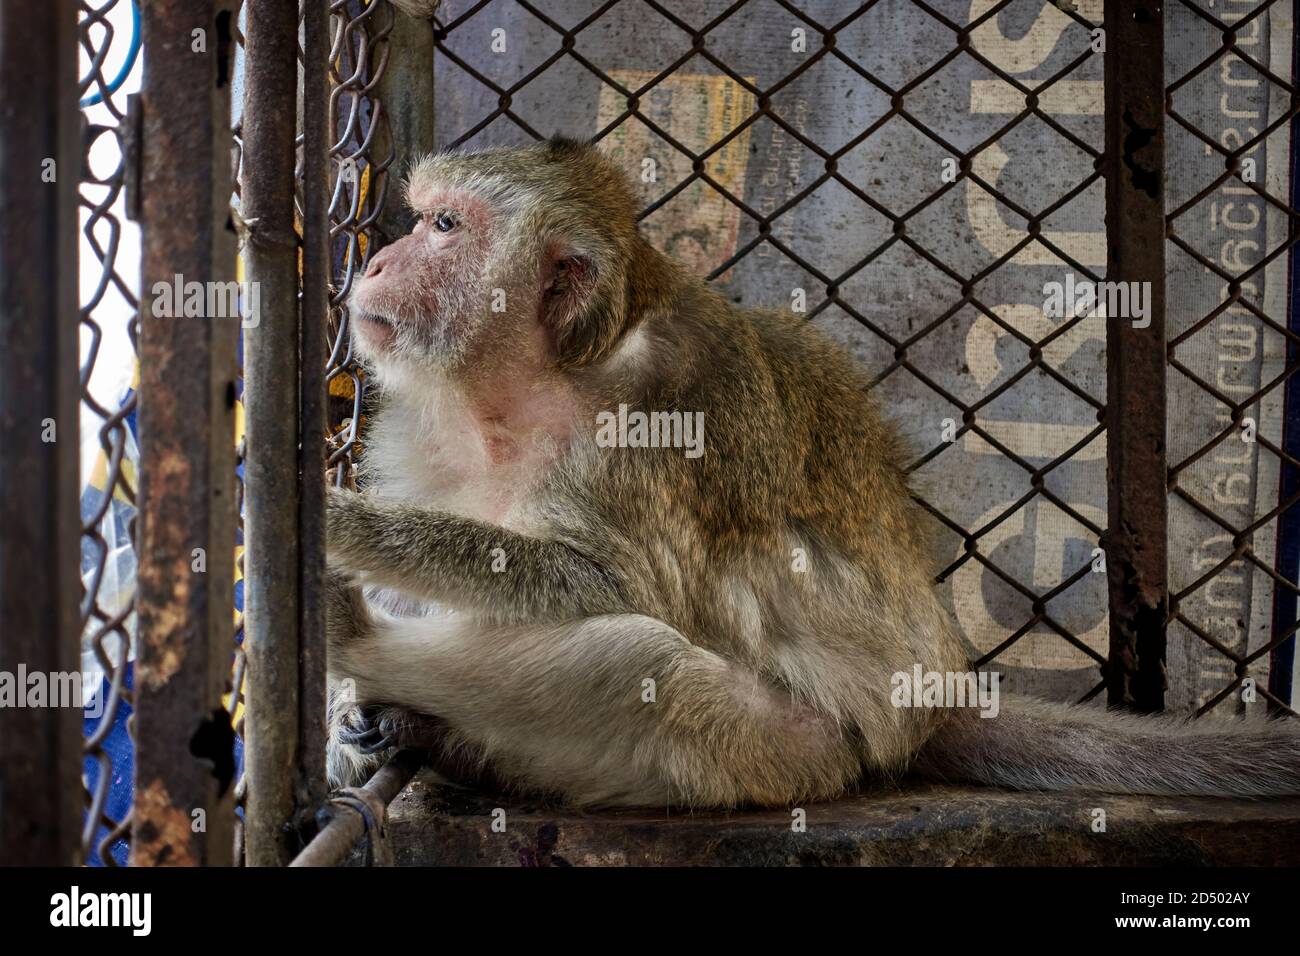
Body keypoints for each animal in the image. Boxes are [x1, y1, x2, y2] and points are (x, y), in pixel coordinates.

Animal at [319, 136, 1294, 806]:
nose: (379, 259)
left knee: (647, 667)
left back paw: (358, 643)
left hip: (788, 753)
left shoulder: (651, 417)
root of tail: (931, 704)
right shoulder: (417, 422)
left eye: (445, 227)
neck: (535, 377)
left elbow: (612, 585)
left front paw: (346, 531)